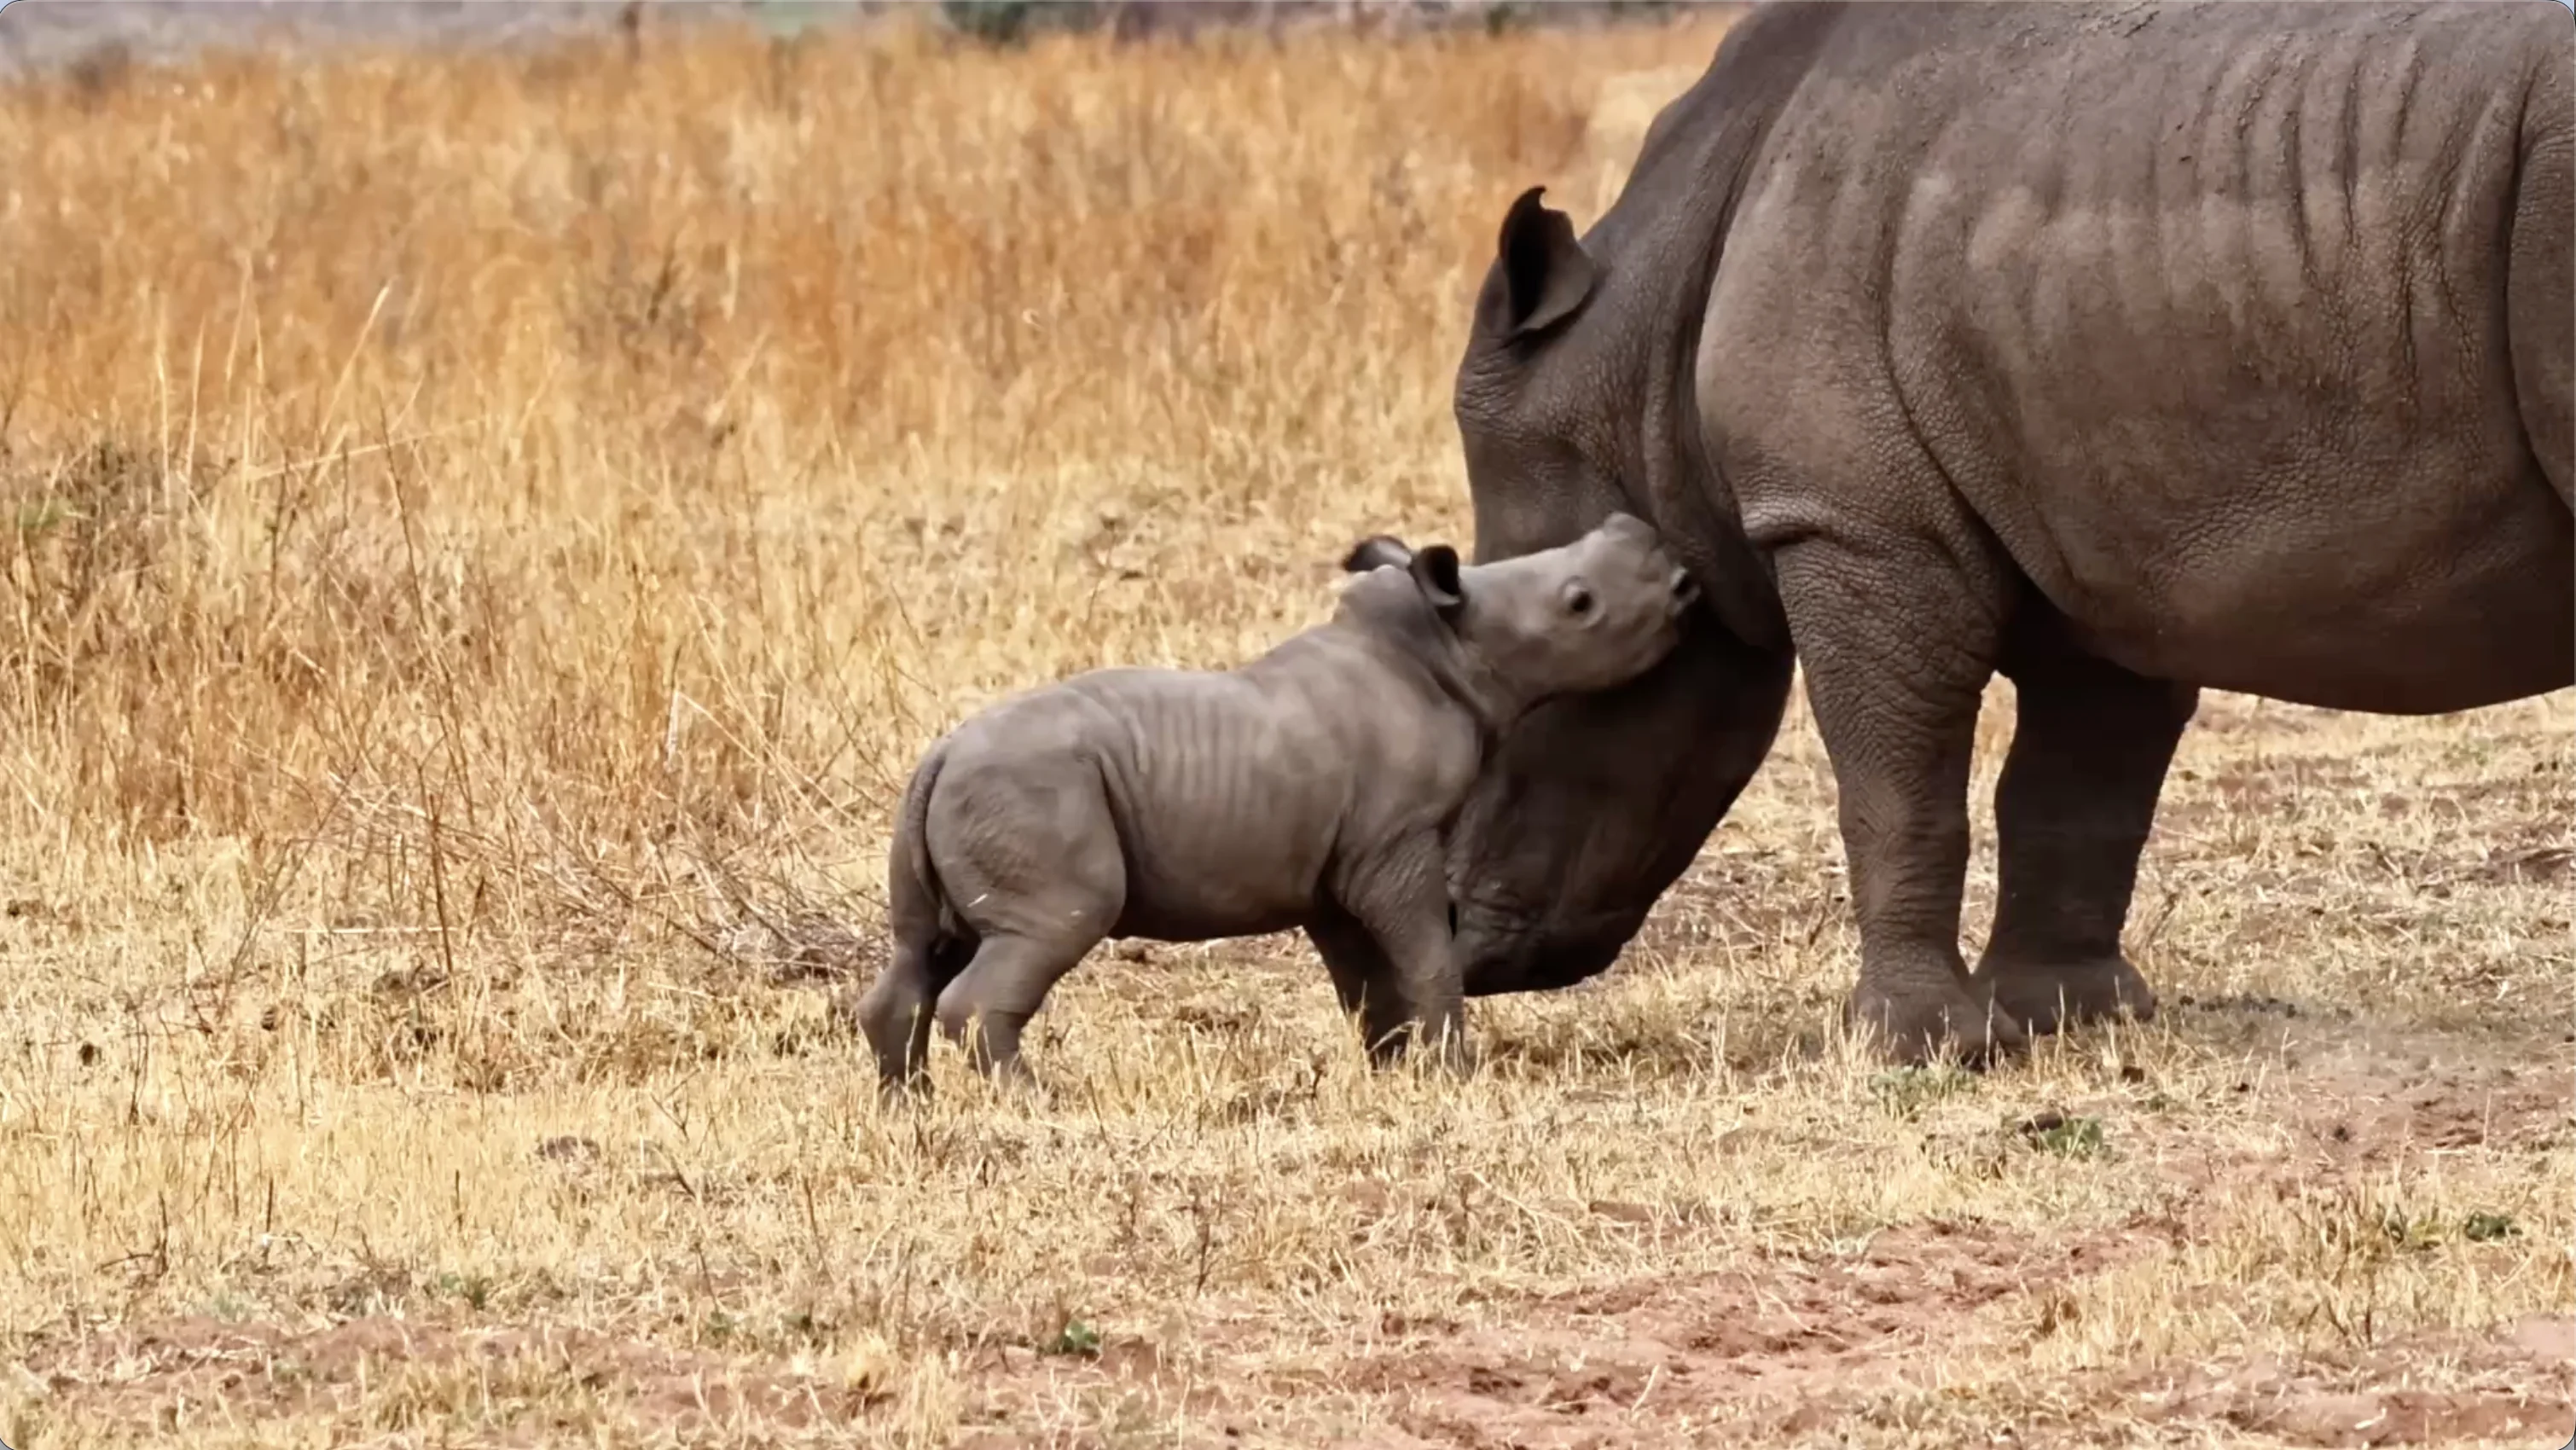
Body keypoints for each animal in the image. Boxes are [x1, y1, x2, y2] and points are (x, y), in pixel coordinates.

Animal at [840, 514, 1699, 1089]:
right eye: (1580, 603)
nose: (1656, 547)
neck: (1448, 650)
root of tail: (941, 755)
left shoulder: (1342, 865)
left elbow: (1366, 976)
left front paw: (1392, 1069)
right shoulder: (1395, 841)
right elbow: (1427, 952)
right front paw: (1452, 1073)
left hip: (957, 800)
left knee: (922, 949)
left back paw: (906, 1106)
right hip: (1033, 797)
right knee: (1050, 926)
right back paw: (1032, 1100)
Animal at [1437, 0, 2573, 1064]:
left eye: (1527, 696)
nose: (1453, 938)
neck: (1632, 370)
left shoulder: (1850, 523)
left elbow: (1894, 779)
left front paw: (1913, 1046)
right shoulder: (2103, 531)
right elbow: (2075, 780)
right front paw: (2066, 1017)